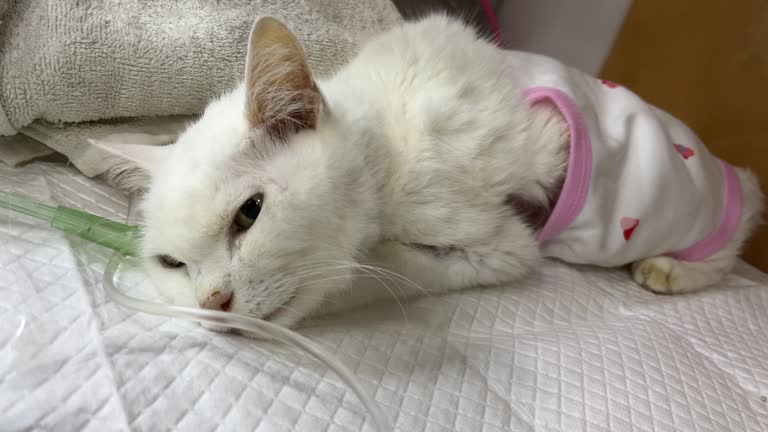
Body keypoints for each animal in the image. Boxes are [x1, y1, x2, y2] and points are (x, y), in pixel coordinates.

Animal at [94, 15, 760, 330]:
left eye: (250, 213)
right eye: (172, 264)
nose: (212, 302)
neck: (388, 148)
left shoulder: (503, 246)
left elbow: (386, 270)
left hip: (670, 200)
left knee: (740, 218)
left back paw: (671, 268)